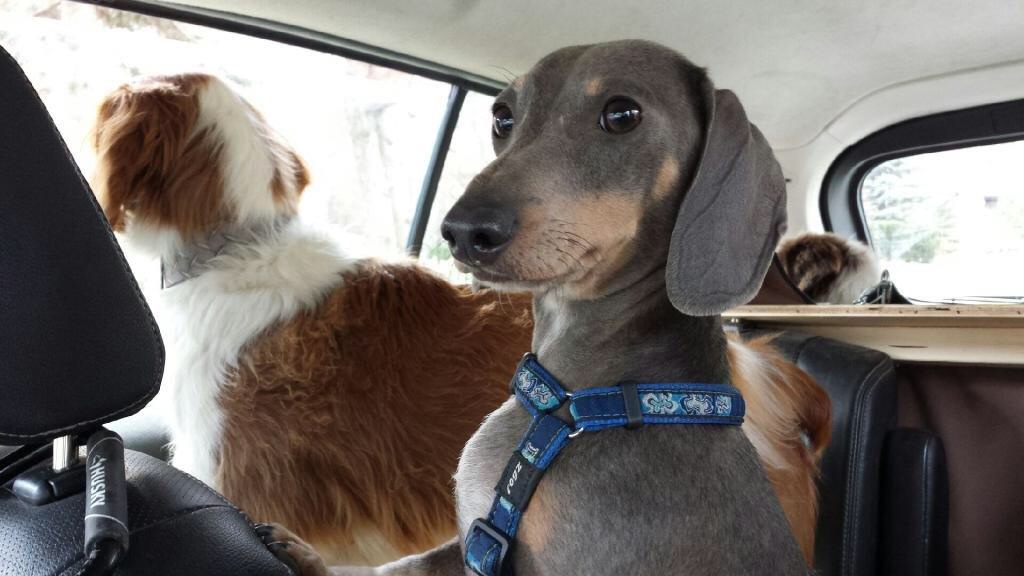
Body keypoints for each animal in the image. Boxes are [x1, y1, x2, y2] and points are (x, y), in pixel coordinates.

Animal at [266, 40, 831, 575]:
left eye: (622, 114)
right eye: (502, 116)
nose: (463, 231)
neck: (570, 404)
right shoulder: (469, 541)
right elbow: (399, 565)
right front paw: (312, 558)